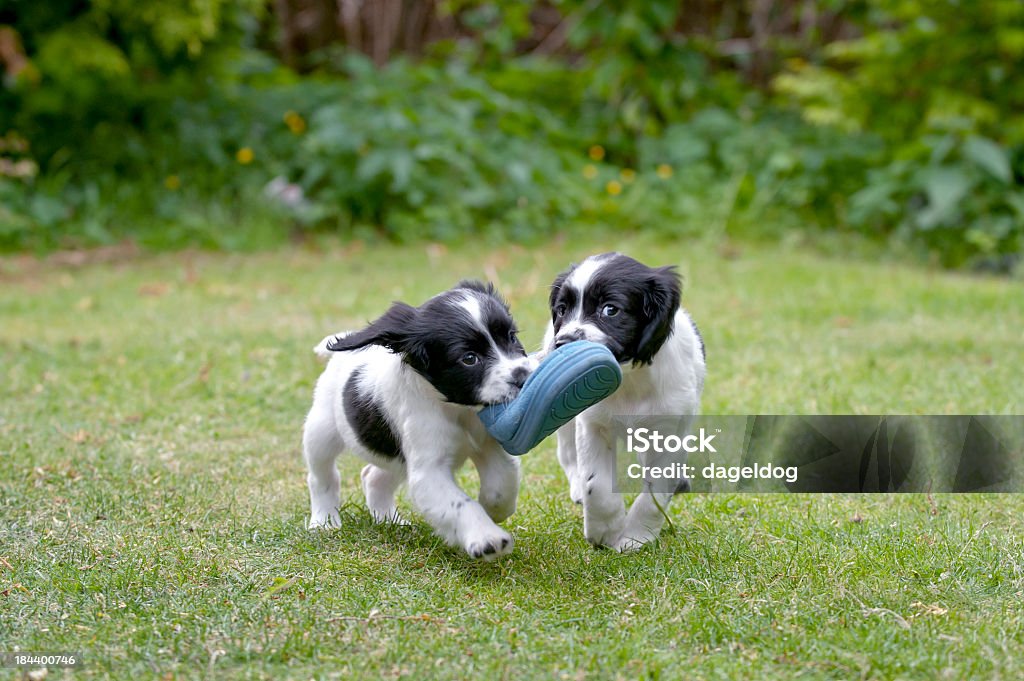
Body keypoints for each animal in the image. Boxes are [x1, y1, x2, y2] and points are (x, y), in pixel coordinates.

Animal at [299, 278, 532, 561]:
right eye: (469, 359)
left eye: (511, 336)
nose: (524, 377)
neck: (458, 409)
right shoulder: (428, 469)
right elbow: (461, 505)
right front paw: (486, 537)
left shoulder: (488, 444)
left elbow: (502, 484)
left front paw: (493, 510)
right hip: (321, 431)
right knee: (322, 477)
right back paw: (324, 522)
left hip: (396, 457)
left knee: (373, 477)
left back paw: (389, 520)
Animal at [544, 251, 704, 548]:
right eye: (561, 310)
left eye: (610, 310)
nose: (563, 343)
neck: (630, 381)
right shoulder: (593, 424)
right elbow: (596, 484)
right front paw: (604, 529)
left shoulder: (670, 428)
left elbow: (655, 490)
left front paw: (636, 536)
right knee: (568, 454)